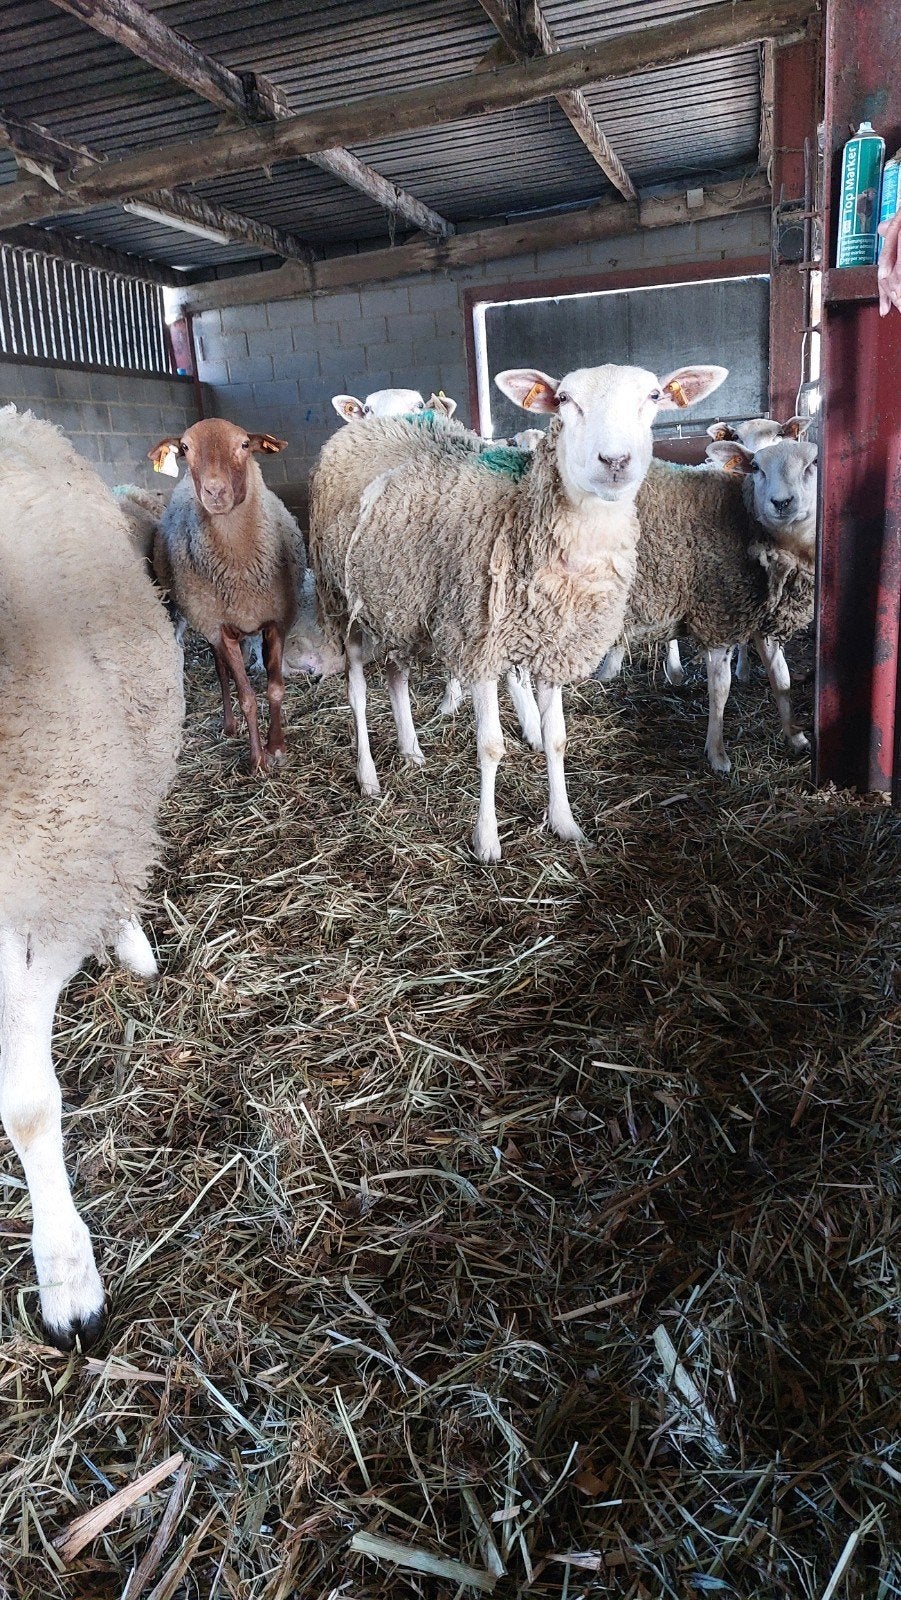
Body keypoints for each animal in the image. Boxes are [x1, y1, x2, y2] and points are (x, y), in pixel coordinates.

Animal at [150, 419, 302, 773]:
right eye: (186, 448)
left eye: (245, 445)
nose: (215, 492)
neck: (240, 572)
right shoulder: (219, 628)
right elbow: (247, 697)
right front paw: (258, 760)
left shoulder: (276, 620)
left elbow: (275, 689)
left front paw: (277, 747)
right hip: (207, 624)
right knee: (222, 674)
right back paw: (230, 725)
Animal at [309, 361, 727, 859]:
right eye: (564, 400)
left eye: (654, 396)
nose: (615, 461)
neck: (523, 513)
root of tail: (371, 427)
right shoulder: (480, 644)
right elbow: (490, 746)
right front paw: (487, 839)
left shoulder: (553, 645)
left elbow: (557, 738)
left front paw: (564, 822)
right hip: (342, 600)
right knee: (356, 691)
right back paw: (368, 776)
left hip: (398, 604)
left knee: (397, 675)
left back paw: (410, 749)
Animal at [596, 433, 817, 773]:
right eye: (756, 467)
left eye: (813, 463)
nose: (781, 503)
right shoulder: (719, 614)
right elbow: (720, 688)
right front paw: (717, 754)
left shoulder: (760, 616)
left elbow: (782, 678)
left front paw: (795, 736)